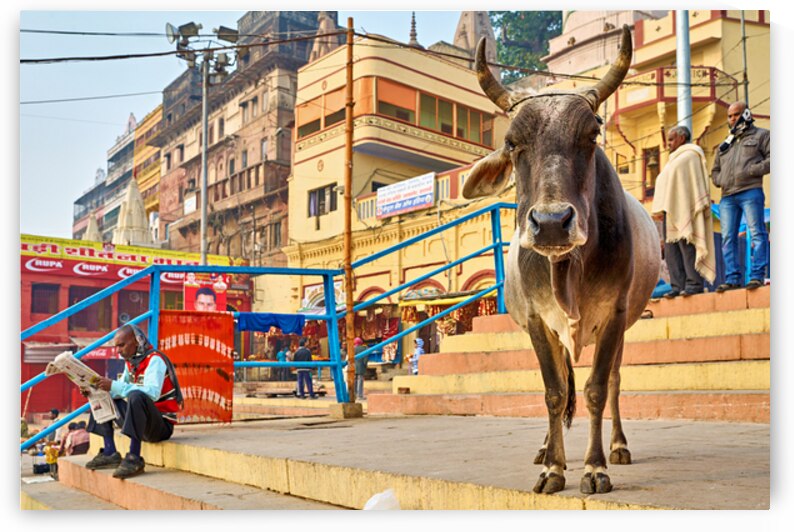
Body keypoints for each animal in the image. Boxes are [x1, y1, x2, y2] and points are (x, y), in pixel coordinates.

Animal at [463, 26, 660, 494]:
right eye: (512, 143)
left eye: (591, 136)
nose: (552, 223)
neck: (567, 270)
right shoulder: (538, 321)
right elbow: (554, 392)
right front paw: (553, 467)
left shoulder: (614, 314)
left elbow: (597, 389)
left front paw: (594, 467)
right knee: (561, 385)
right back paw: (545, 448)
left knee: (614, 382)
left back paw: (618, 446)